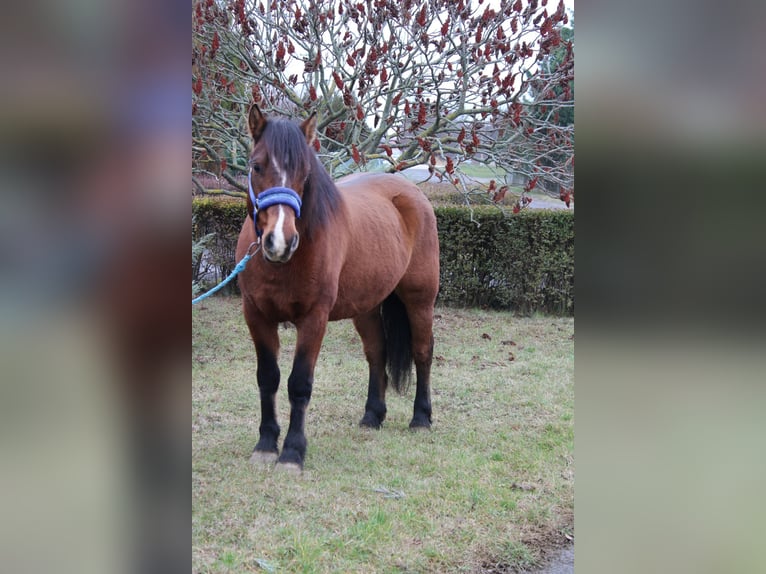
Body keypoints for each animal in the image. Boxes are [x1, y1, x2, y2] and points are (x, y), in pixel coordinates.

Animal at [235, 104, 440, 471]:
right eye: (256, 166)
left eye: (305, 172)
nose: (279, 241)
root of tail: (411, 193)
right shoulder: (256, 316)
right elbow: (268, 377)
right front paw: (265, 444)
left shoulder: (314, 319)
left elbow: (299, 383)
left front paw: (292, 452)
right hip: (367, 306)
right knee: (377, 353)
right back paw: (372, 416)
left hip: (420, 300)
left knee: (422, 352)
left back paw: (420, 418)